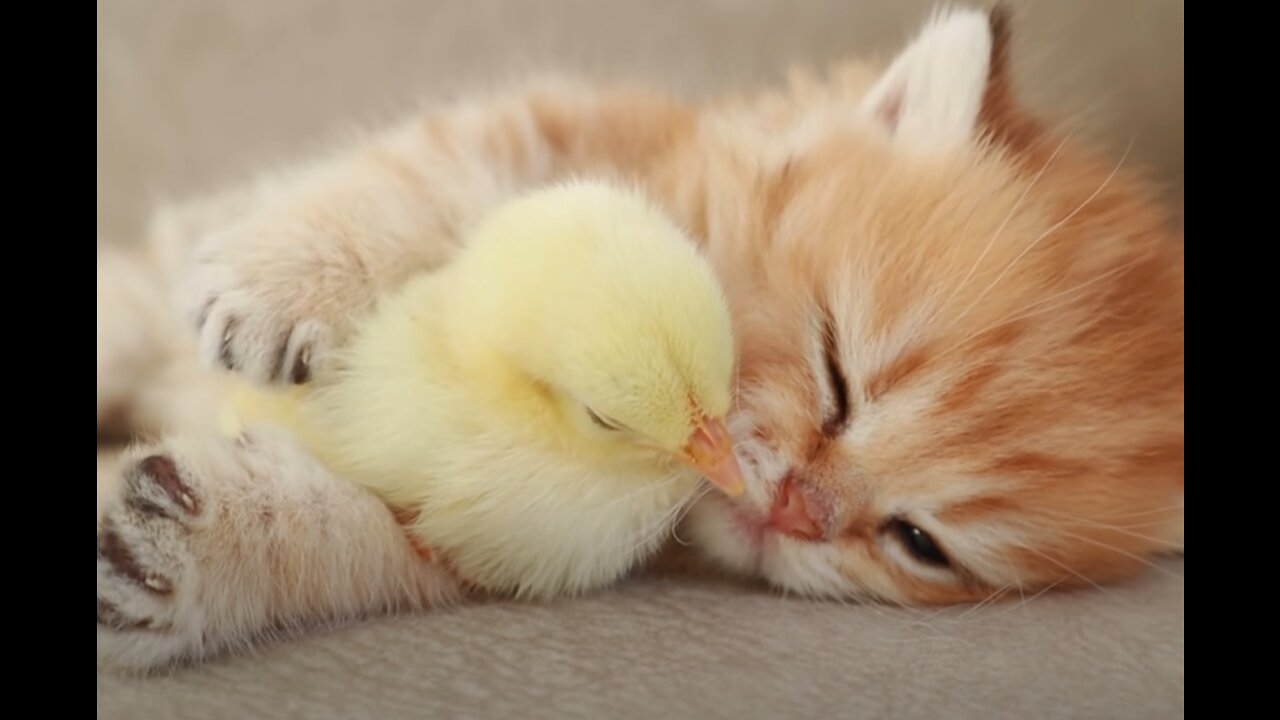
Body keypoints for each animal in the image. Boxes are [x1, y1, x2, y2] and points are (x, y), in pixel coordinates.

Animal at [94, 5, 1182, 671]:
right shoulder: (564, 131)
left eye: (919, 543)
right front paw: (284, 277)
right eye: (837, 372)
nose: (794, 508)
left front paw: (189, 545)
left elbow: (348, 532)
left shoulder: (482, 533)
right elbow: (424, 168)